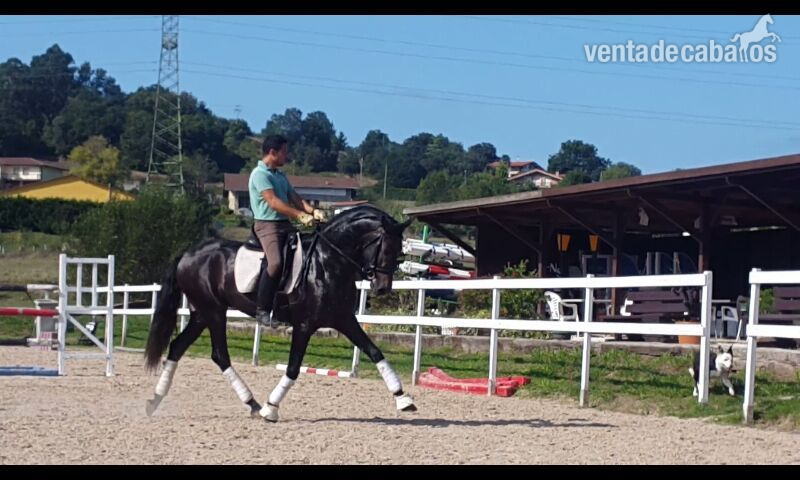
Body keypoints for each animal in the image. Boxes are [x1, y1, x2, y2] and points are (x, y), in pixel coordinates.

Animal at [142, 205, 416, 422]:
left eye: (400, 252)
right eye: (385, 248)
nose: (382, 288)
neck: (327, 262)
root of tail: (188, 254)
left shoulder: (344, 319)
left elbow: (375, 351)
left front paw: (403, 399)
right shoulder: (304, 324)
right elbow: (293, 367)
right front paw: (271, 408)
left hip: (201, 315)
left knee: (178, 347)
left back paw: (155, 400)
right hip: (214, 312)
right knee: (219, 355)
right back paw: (254, 405)